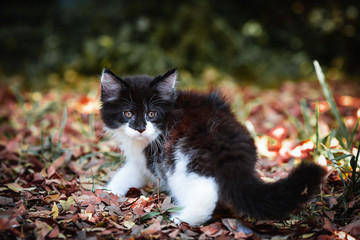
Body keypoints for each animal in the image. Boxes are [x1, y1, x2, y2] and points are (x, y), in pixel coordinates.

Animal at [100, 68, 328, 227]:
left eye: (151, 114)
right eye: (128, 113)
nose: (140, 128)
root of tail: (229, 144)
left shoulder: (151, 156)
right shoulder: (141, 163)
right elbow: (127, 173)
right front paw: (107, 193)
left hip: (181, 160)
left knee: (204, 192)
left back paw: (181, 219)